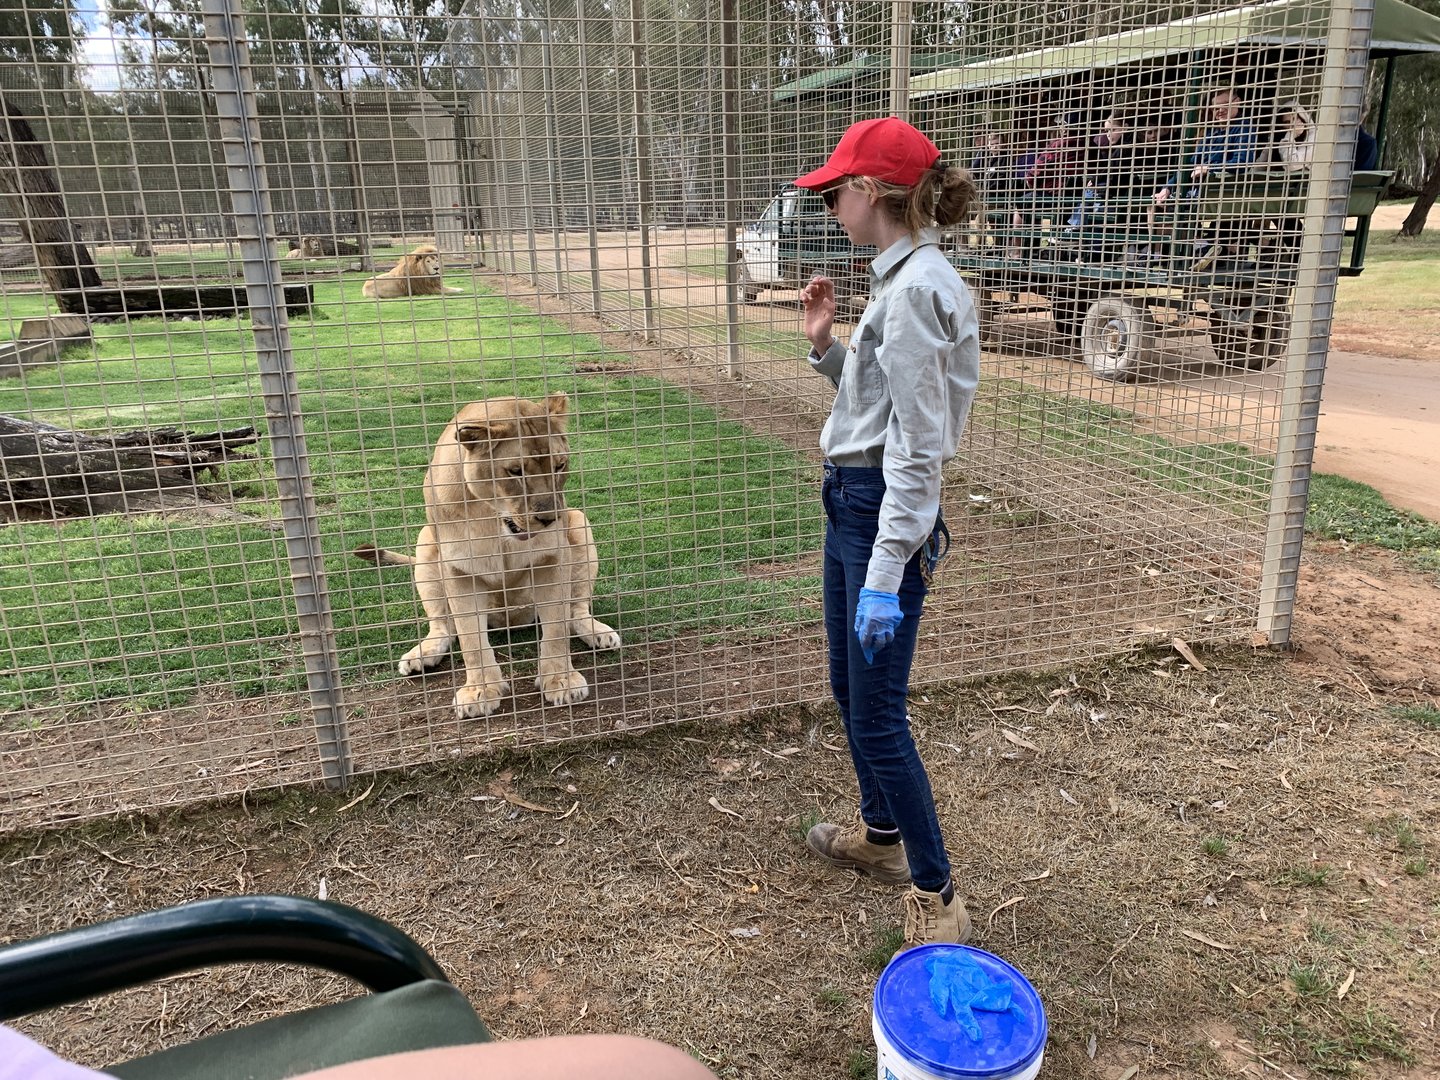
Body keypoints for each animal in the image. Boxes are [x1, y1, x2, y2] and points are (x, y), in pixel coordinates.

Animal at [354, 392, 620, 719]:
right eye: (515, 471)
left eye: (560, 465)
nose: (549, 518)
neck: (494, 521)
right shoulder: (459, 569)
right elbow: (470, 638)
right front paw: (479, 691)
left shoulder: (552, 558)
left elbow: (556, 628)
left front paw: (562, 682)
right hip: (426, 541)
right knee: (444, 627)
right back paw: (422, 656)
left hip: (578, 522)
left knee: (575, 610)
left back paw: (600, 634)